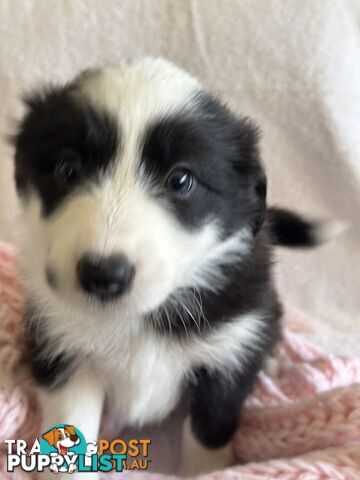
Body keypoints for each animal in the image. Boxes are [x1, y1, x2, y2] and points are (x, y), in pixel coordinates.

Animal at [11, 58, 320, 478]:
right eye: (67, 169)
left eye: (181, 180)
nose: (103, 276)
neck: (137, 317)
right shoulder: (63, 348)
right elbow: (71, 425)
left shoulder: (226, 356)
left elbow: (210, 431)